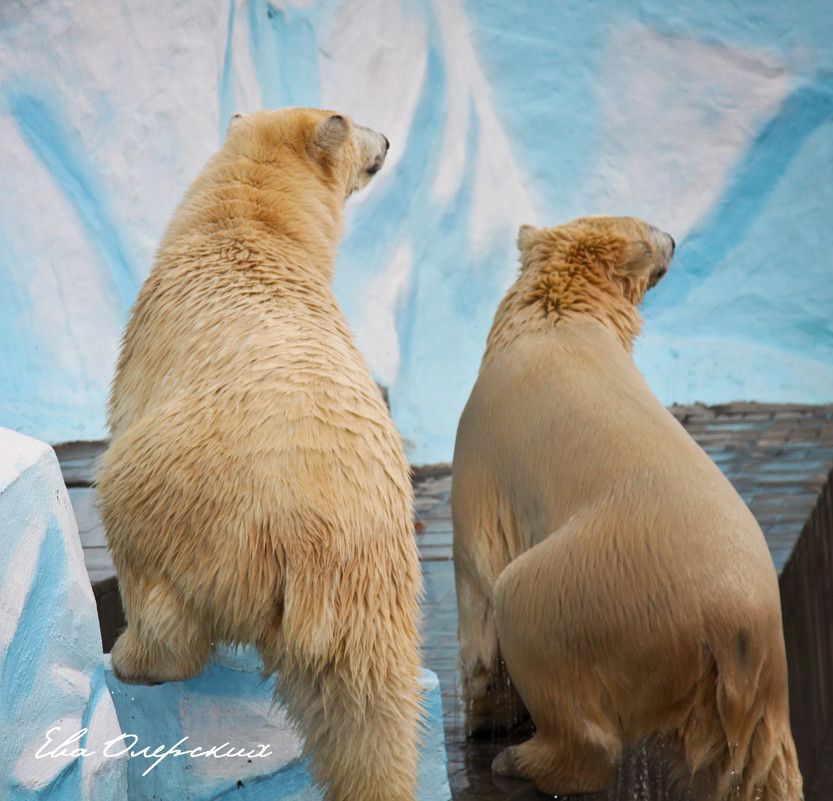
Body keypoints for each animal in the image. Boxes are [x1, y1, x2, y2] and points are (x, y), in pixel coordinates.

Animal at [97, 106, 422, 800]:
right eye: (358, 122)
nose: (387, 140)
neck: (253, 229)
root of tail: (308, 532)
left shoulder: (144, 348)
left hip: (181, 493)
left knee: (145, 561)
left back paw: (133, 658)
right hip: (374, 593)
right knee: (367, 715)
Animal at [452, 214, 804, 800]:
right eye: (650, 229)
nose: (675, 239)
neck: (557, 320)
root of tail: (730, 627)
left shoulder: (481, 453)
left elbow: (477, 587)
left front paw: (484, 715)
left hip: (595, 589)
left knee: (524, 607)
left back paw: (520, 760)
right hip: (763, 685)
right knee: (763, 763)